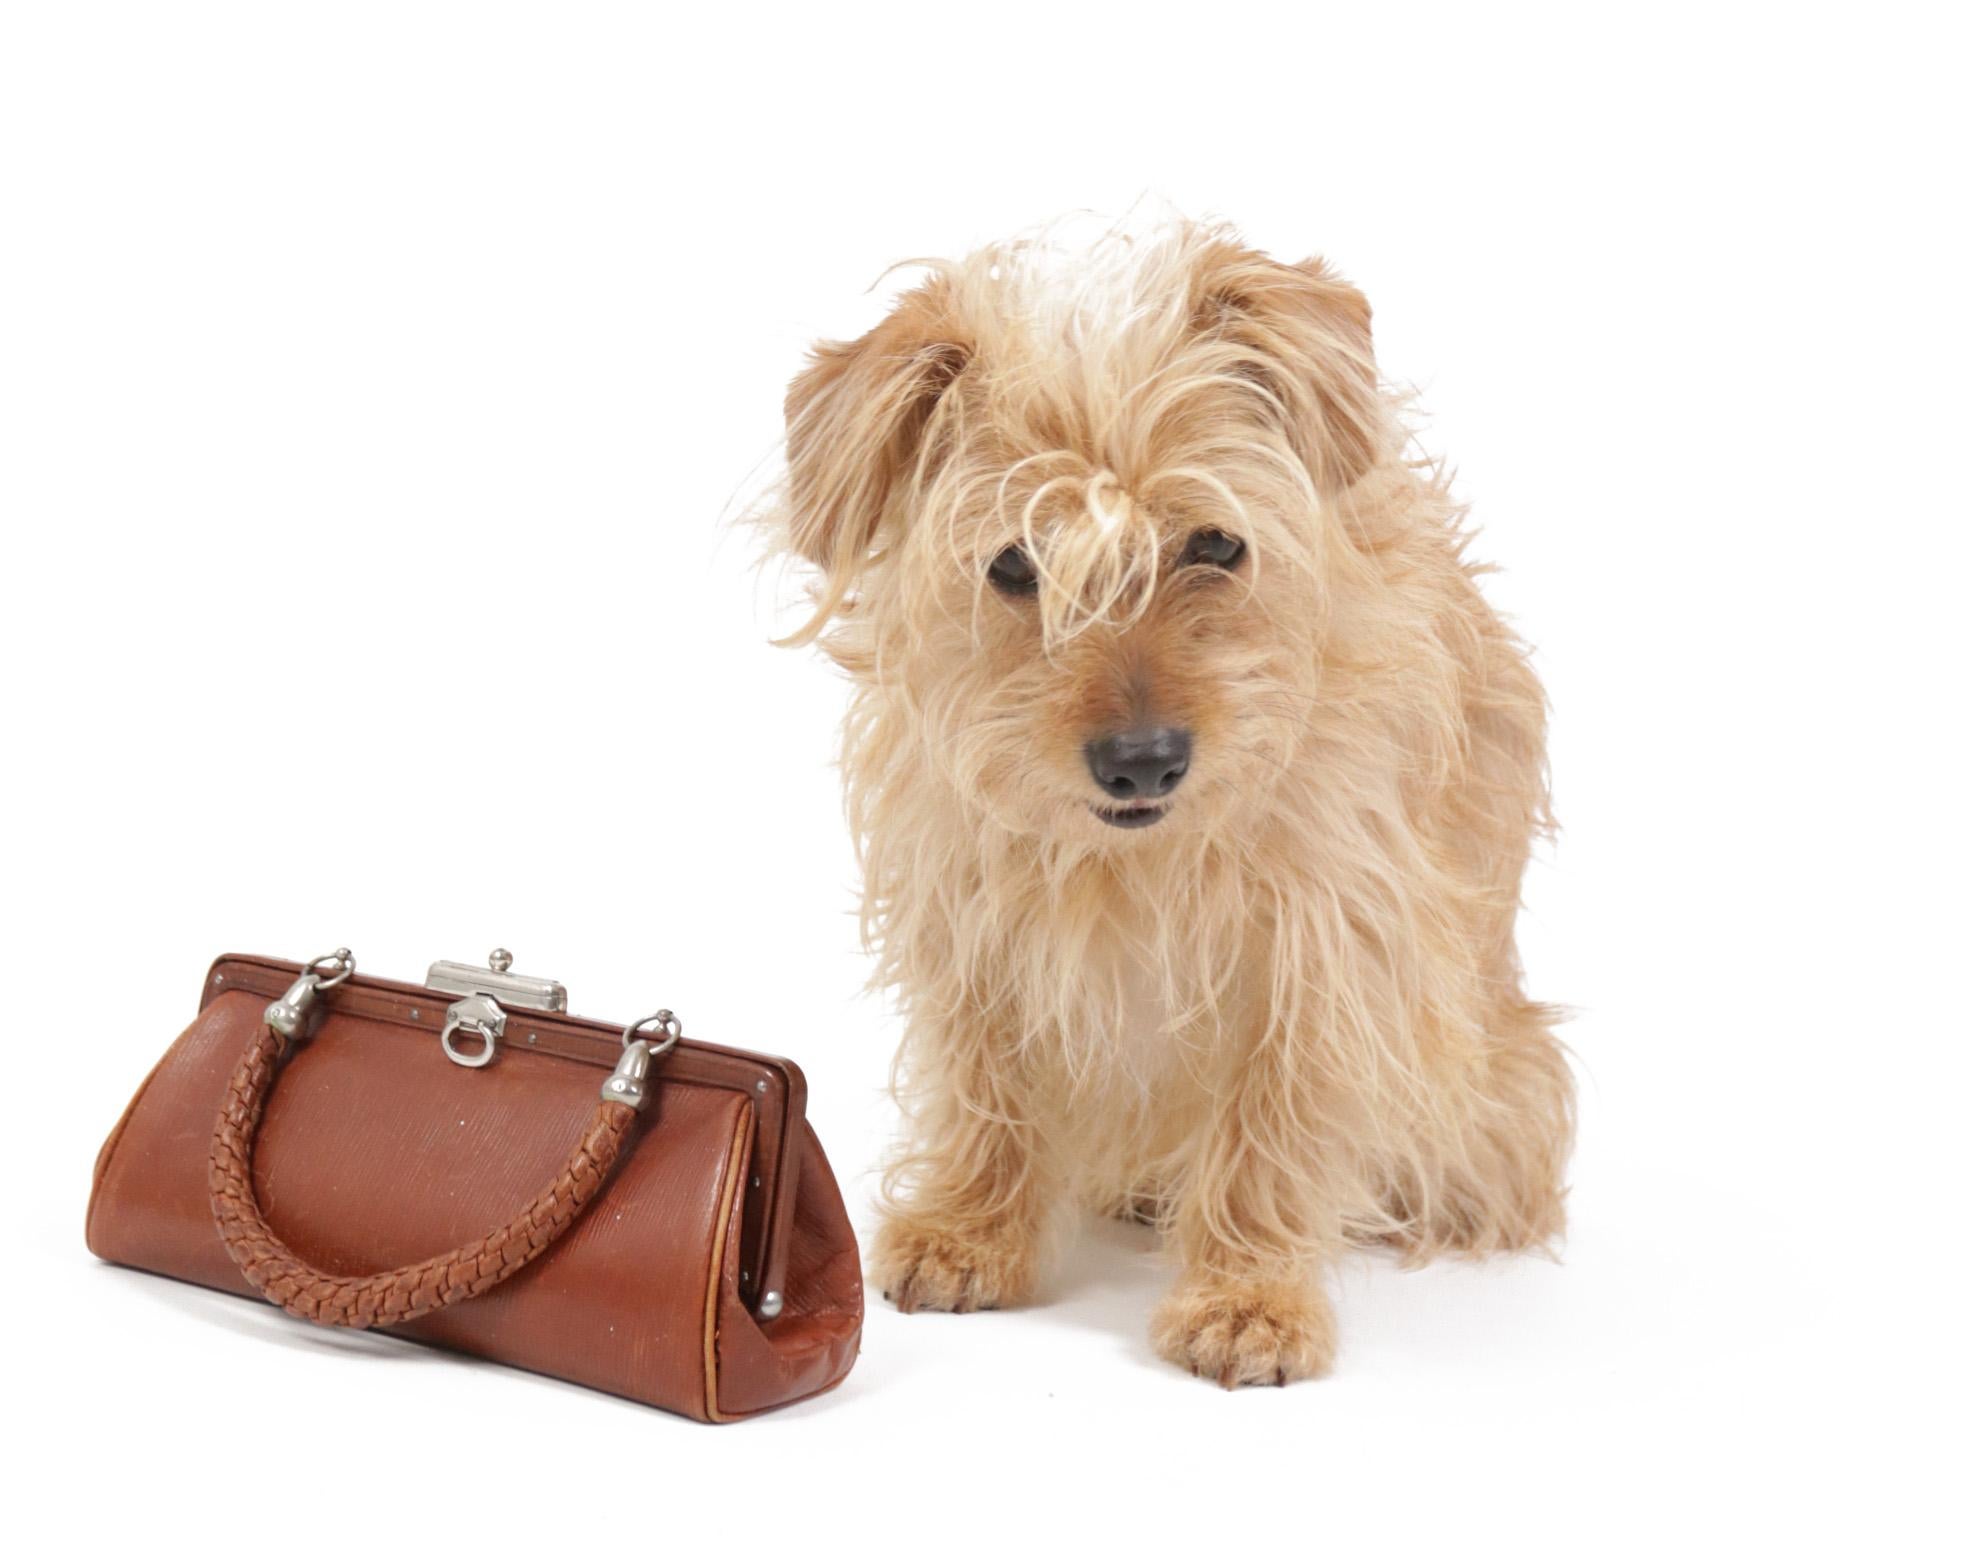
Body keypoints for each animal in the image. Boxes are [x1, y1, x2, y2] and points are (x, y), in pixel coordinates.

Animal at [765, 216, 1571, 1381]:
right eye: (1016, 564)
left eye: (1216, 543)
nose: (1141, 761)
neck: (1134, 859)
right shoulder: (971, 909)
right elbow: (984, 1077)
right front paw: (972, 1227)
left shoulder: (1326, 941)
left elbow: (1276, 1117)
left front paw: (1247, 1295)